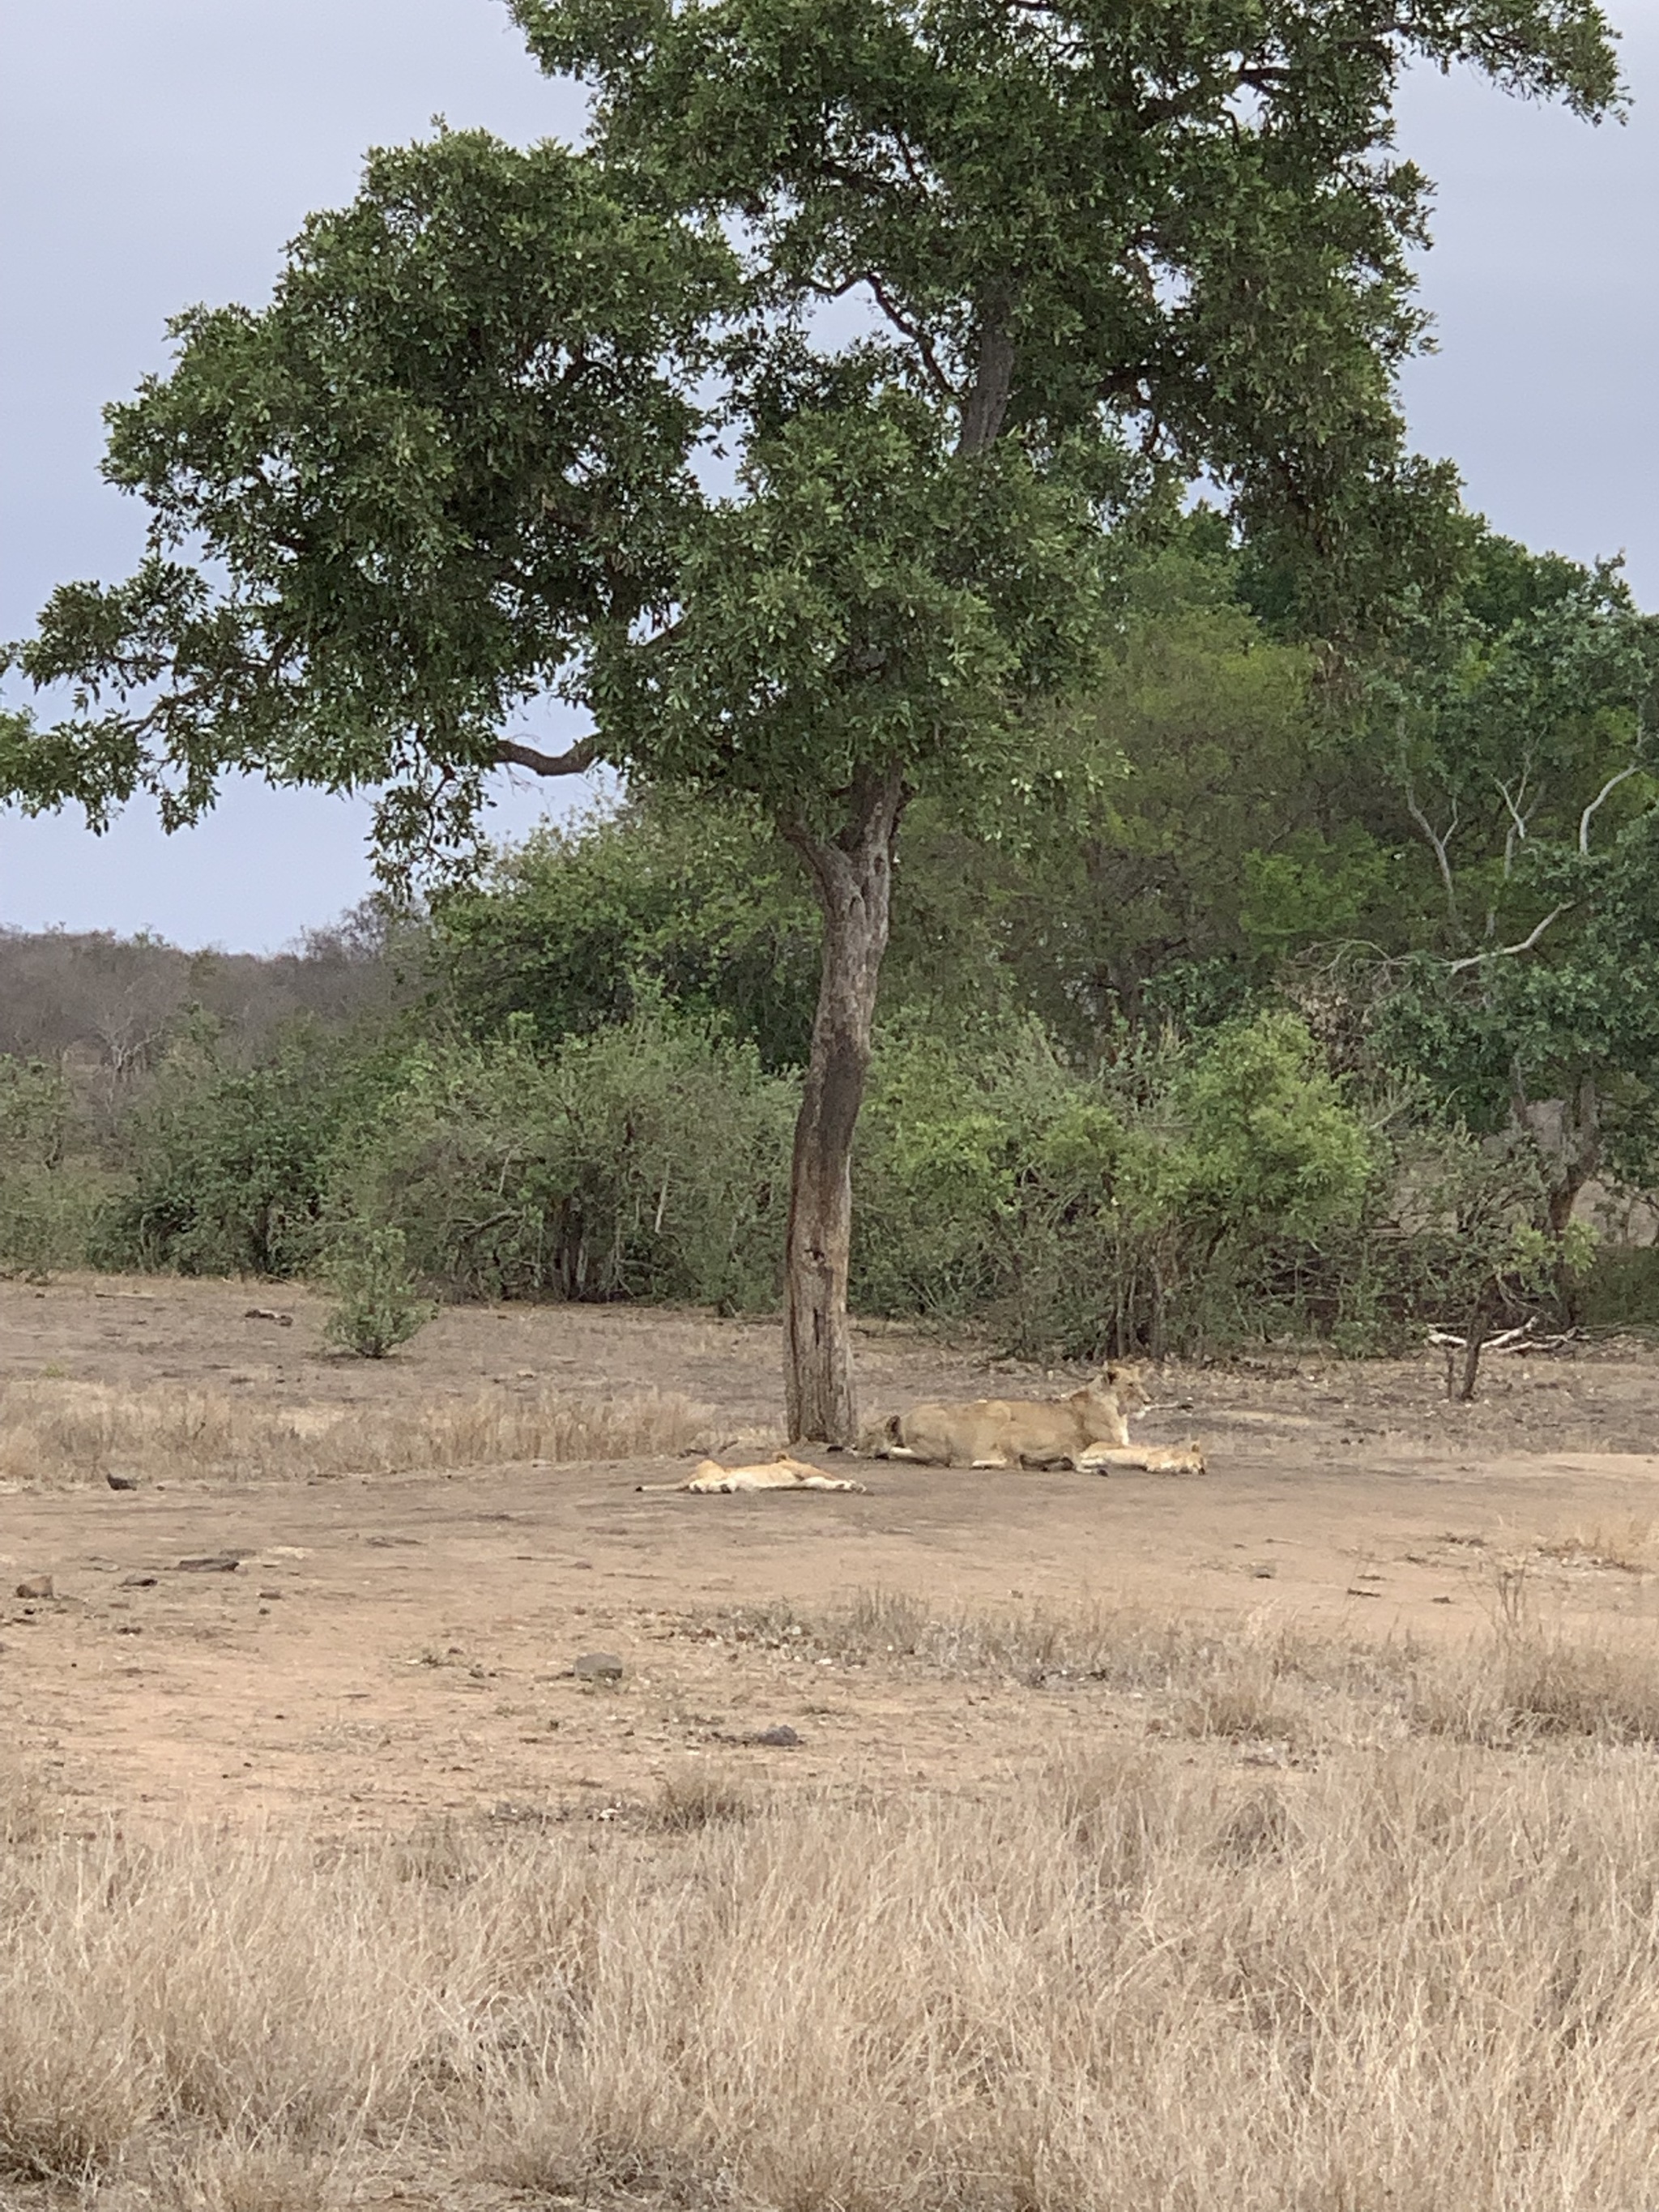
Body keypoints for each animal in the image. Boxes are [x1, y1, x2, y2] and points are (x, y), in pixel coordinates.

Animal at [862, 1353, 1203, 1477]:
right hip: (999, 1410)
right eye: (1131, 1385)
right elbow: (1141, 1448)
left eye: (1141, 1382)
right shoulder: (1105, 1442)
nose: (1148, 1399)